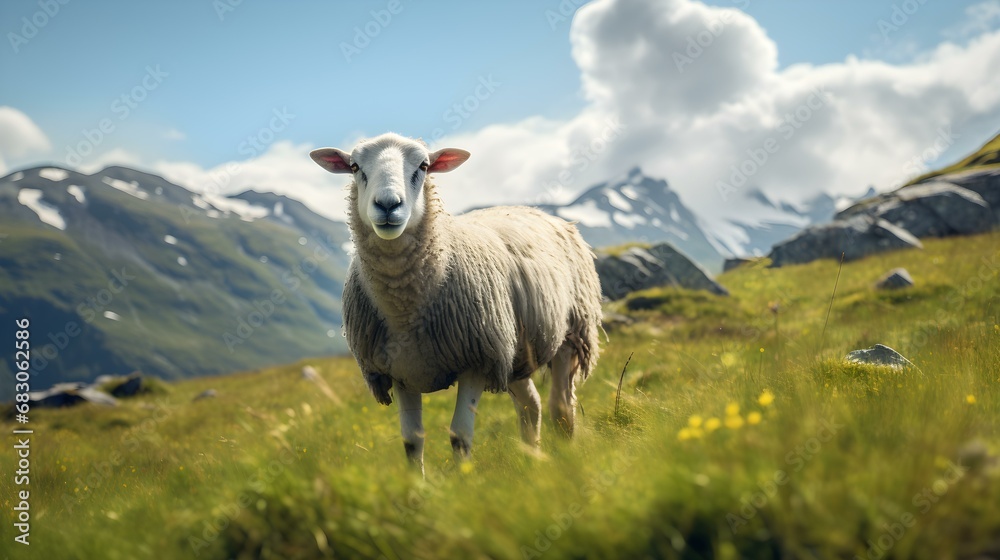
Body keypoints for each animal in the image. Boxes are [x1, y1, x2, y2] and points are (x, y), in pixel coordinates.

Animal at [310, 133, 602, 473]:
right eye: (355, 167)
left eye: (424, 166)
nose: (388, 205)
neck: (404, 309)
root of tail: (532, 209)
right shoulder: (401, 372)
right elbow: (412, 442)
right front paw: (417, 487)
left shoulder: (476, 360)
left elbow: (459, 436)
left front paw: (463, 479)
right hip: (514, 352)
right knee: (532, 405)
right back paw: (533, 460)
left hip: (570, 332)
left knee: (561, 407)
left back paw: (566, 458)